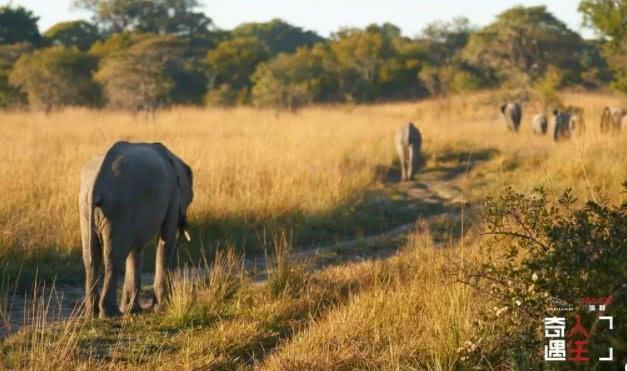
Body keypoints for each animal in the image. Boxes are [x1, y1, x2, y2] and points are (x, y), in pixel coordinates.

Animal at [80, 141, 194, 318]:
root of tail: (96, 183)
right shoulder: (173, 196)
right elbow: (166, 240)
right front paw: (161, 307)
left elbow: (135, 249)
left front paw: (132, 309)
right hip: (118, 208)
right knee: (113, 258)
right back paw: (110, 314)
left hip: (86, 207)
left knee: (91, 257)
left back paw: (92, 313)